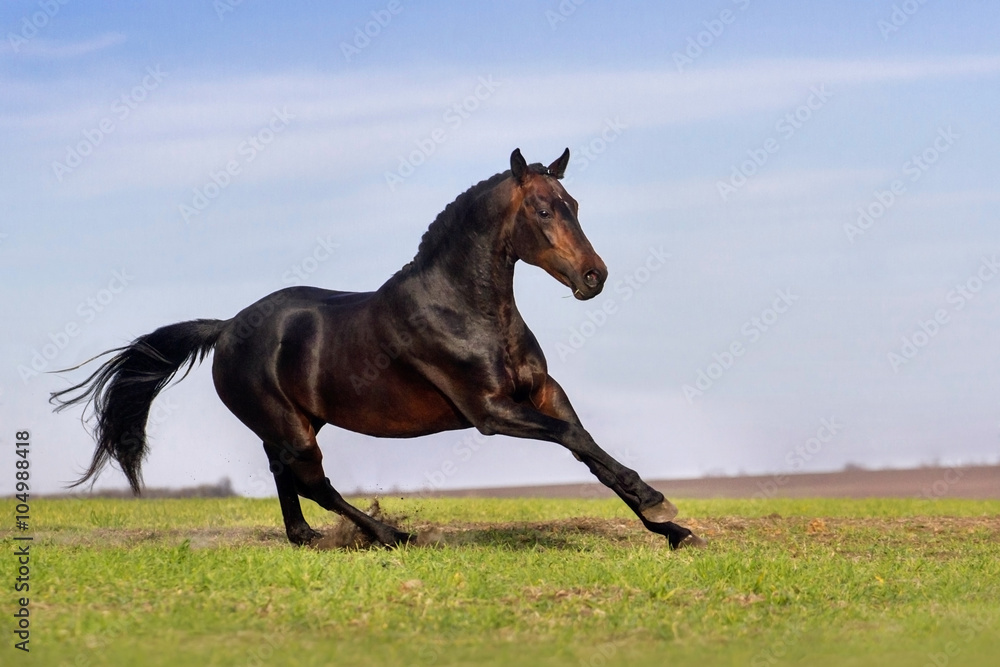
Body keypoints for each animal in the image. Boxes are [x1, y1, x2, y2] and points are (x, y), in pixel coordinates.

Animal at [51, 148, 705, 550]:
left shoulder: (543, 391)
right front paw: (663, 508)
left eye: (575, 206)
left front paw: (669, 527)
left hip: (294, 422)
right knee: (311, 481)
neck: (465, 308)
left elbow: (586, 445)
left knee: (287, 477)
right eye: (544, 209)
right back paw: (391, 537)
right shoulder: (491, 412)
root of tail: (228, 327)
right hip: (291, 425)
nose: (594, 277)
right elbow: (572, 440)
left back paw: (311, 539)